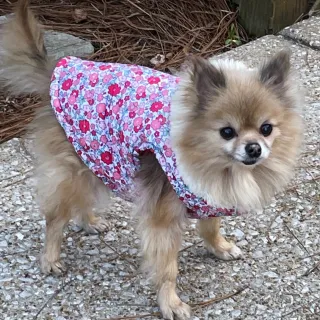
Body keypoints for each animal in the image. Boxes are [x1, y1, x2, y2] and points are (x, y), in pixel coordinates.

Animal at [0, 1, 304, 318]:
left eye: (266, 128)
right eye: (227, 132)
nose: (254, 148)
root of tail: (58, 70)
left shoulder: (207, 196)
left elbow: (211, 226)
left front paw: (218, 247)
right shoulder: (163, 219)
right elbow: (167, 267)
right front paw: (170, 302)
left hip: (94, 156)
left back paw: (89, 221)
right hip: (74, 170)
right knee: (55, 218)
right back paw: (50, 257)